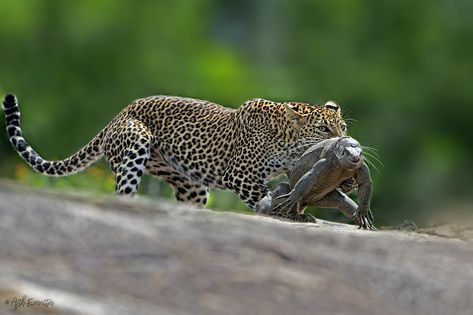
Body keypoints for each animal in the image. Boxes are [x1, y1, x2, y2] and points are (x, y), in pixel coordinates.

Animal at [1, 94, 344, 210]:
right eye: (324, 129)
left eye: (342, 126)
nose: (344, 140)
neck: (284, 138)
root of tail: (117, 115)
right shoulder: (239, 175)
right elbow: (266, 197)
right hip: (135, 142)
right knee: (123, 191)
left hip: (191, 187)